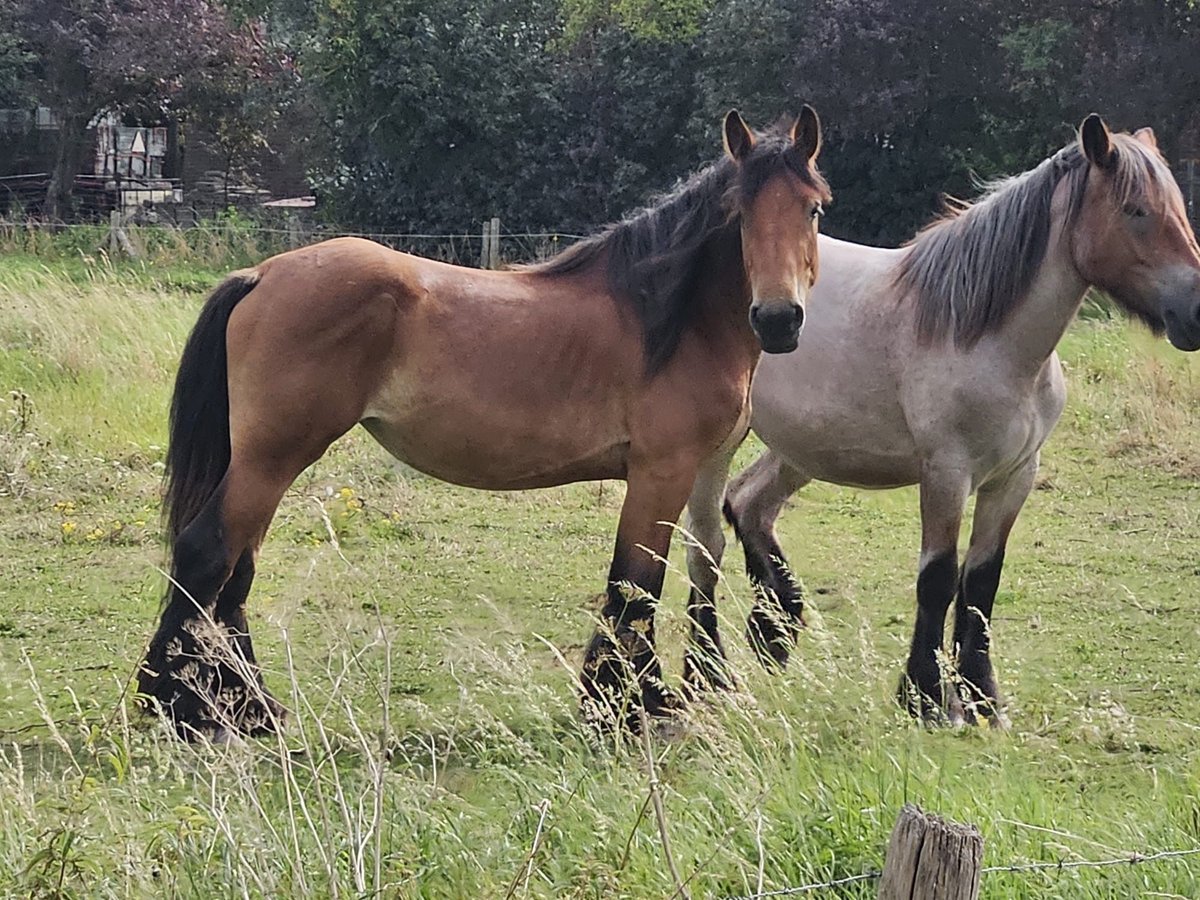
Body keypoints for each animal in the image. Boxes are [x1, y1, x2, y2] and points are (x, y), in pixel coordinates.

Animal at [140, 107, 830, 739]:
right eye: (740, 212)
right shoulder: (660, 471)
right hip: (271, 457)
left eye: (814, 210)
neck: (672, 320)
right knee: (208, 552)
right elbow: (636, 583)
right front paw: (627, 706)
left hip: (263, 462)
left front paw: (677, 692)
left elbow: (698, 563)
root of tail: (261, 275)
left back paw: (250, 708)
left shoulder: (706, 468)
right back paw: (180, 704)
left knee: (237, 568)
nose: (778, 319)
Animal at [686, 114, 1200, 724]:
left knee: (749, 501)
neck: (985, 336)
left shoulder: (1014, 477)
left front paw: (983, 699)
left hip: (801, 447)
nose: (1196, 312)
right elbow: (937, 579)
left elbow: (981, 583)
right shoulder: (946, 474)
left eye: (1177, 208)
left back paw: (775, 633)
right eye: (1136, 211)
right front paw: (925, 698)